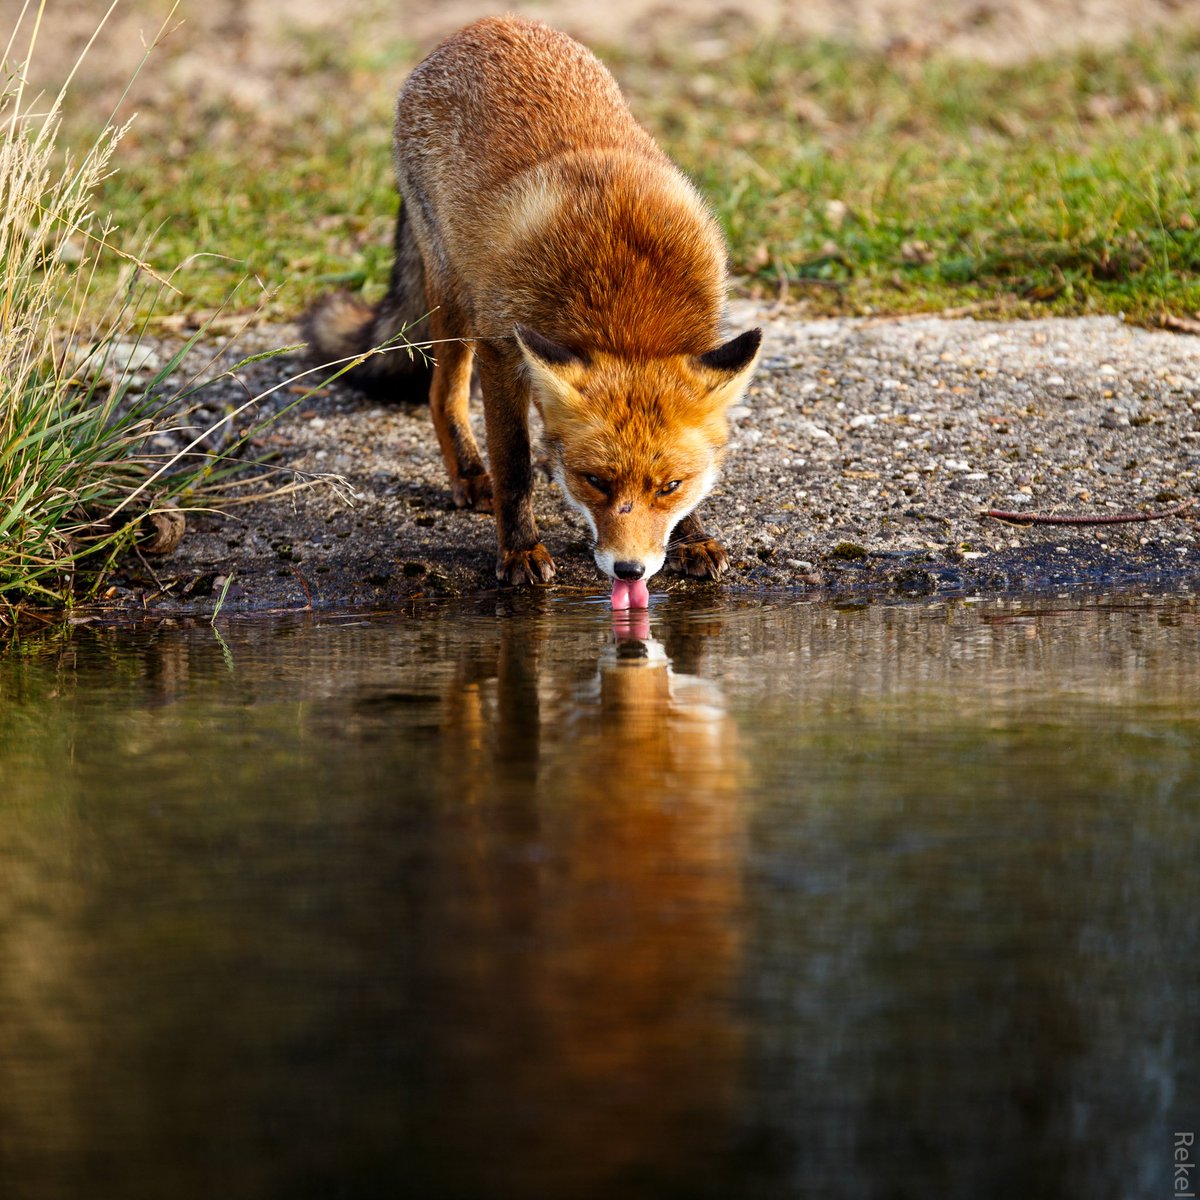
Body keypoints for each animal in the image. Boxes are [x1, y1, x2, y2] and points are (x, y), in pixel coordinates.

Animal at [303, 15, 761, 603]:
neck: (630, 310)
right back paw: (472, 477)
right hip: (457, 300)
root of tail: (484, 24)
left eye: (669, 486)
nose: (629, 571)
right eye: (597, 481)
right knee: (442, 393)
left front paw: (692, 537)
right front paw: (519, 549)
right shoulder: (502, 347)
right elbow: (514, 466)